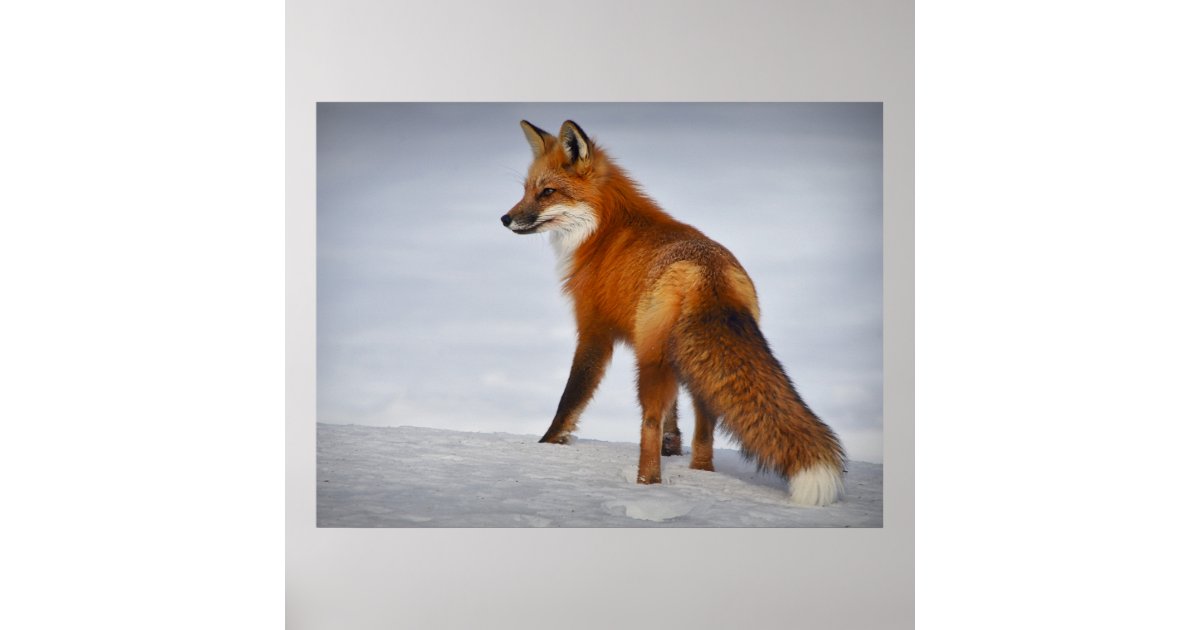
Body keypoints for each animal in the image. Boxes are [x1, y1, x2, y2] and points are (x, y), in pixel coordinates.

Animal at [502, 120, 846, 506]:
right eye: (526, 190)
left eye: (547, 192)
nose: (505, 218)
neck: (603, 232)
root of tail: (708, 274)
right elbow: (674, 418)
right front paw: (673, 447)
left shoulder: (594, 330)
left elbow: (571, 398)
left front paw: (547, 444)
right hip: (690, 363)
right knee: (705, 427)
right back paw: (700, 473)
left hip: (651, 362)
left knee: (649, 423)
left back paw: (646, 484)